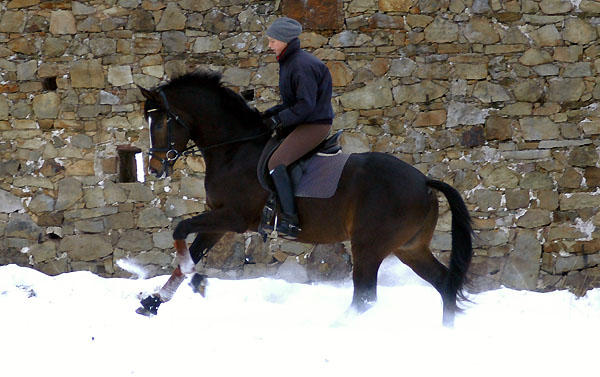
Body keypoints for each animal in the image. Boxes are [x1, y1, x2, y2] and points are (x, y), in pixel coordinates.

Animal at [136, 70, 474, 326]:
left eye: (163, 122)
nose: (154, 169)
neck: (234, 149)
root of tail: (423, 181)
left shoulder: (232, 218)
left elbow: (180, 231)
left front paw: (194, 283)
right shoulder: (218, 219)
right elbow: (190, 255)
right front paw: (154, 301)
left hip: (369, 247)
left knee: (365, 297)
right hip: (409, 248)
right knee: (443, 283)